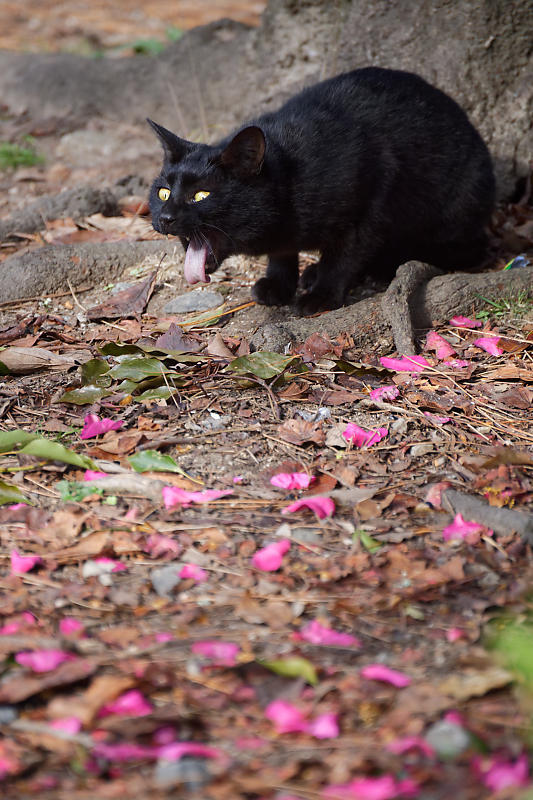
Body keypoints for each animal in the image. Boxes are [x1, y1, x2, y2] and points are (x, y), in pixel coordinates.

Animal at [147, 66, 494, 316]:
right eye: (163, 192)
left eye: (201, 195)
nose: (165, 217)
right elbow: (283, 252)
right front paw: (279, 285)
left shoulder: (368, 205)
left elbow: (342, 258)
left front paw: (322, 296)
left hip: (455, 211)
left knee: (465, 250)